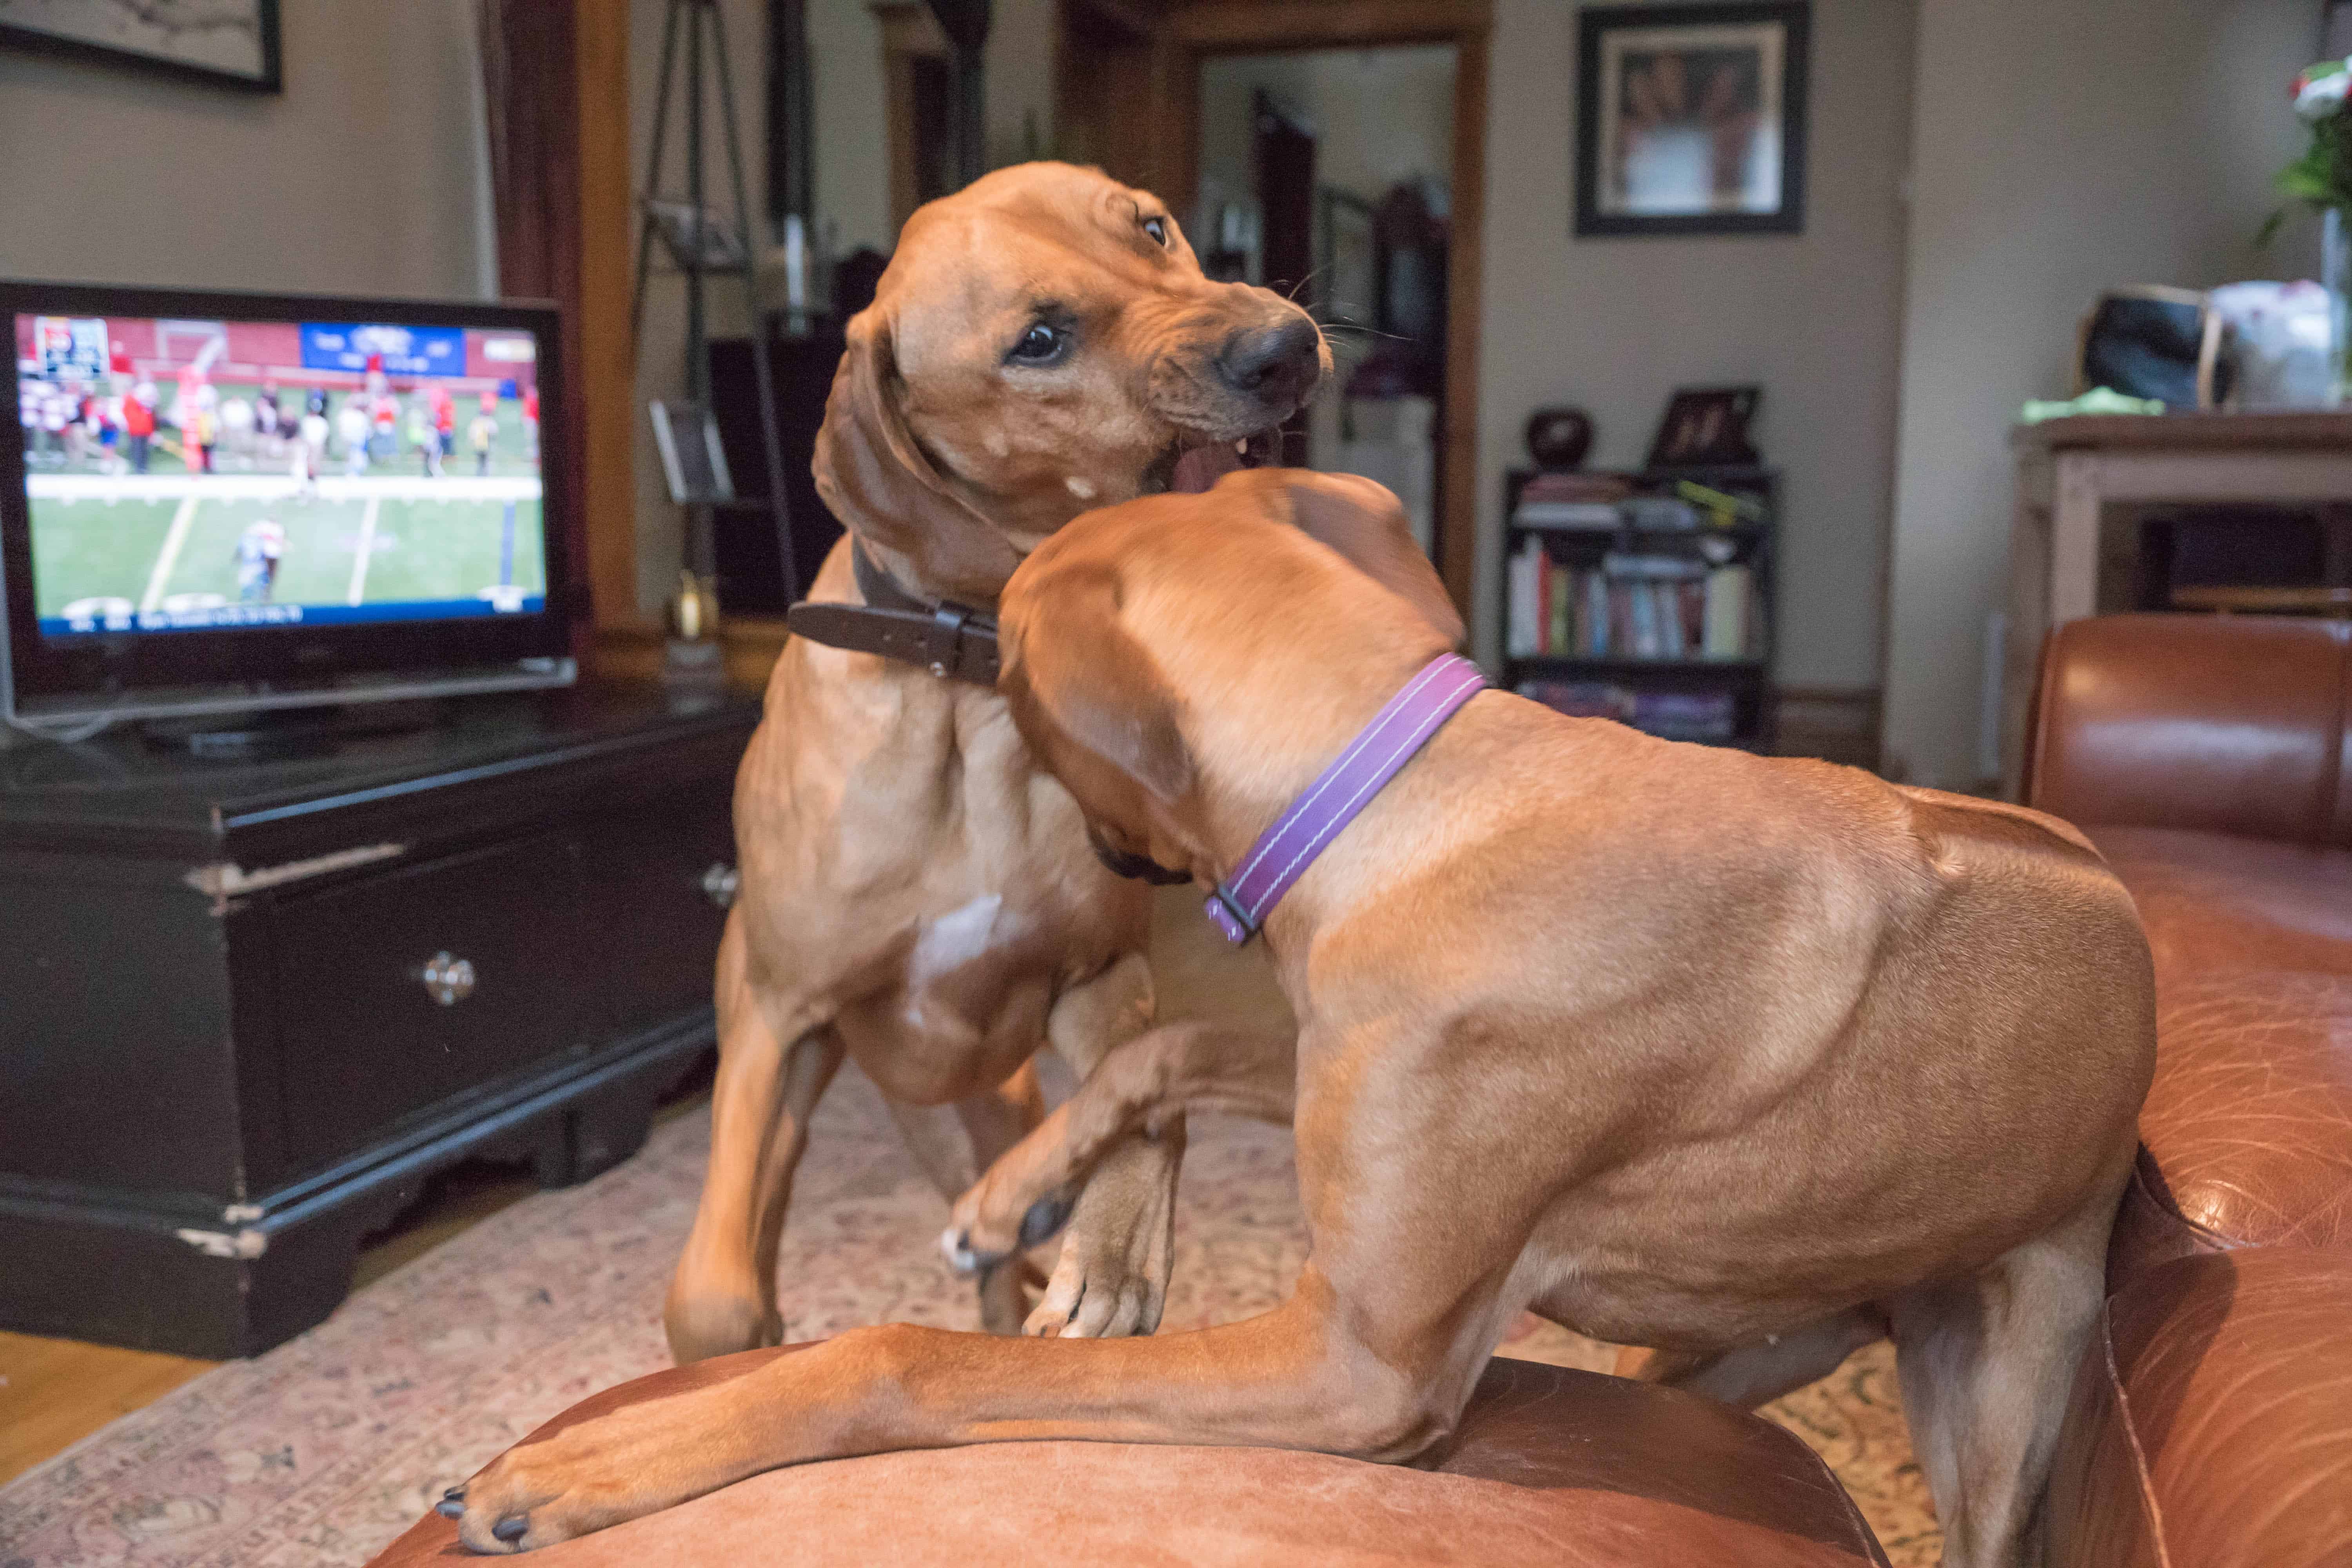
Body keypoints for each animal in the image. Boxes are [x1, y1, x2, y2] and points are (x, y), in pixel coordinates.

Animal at [454, 470, 2154, 1568]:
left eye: (1010, 672)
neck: (1405, 793)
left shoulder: (1360, 1365)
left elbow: (900, 1359)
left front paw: (586, 1460)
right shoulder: (1332, 1055)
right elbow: (1172, 1047)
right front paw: (1023, 1194)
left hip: (2004, 1403)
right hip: (1711, 1355)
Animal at [654, 162, 1383, 1363]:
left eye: (1154, 228)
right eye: (1038, 340)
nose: (1284, 346)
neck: (967, 681)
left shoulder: (1098, 974)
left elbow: (1142, 1100)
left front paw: (1111, 1260)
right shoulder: (778, 1013)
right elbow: (713, 1296)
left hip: (996, 1101)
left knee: (1003, 1261)